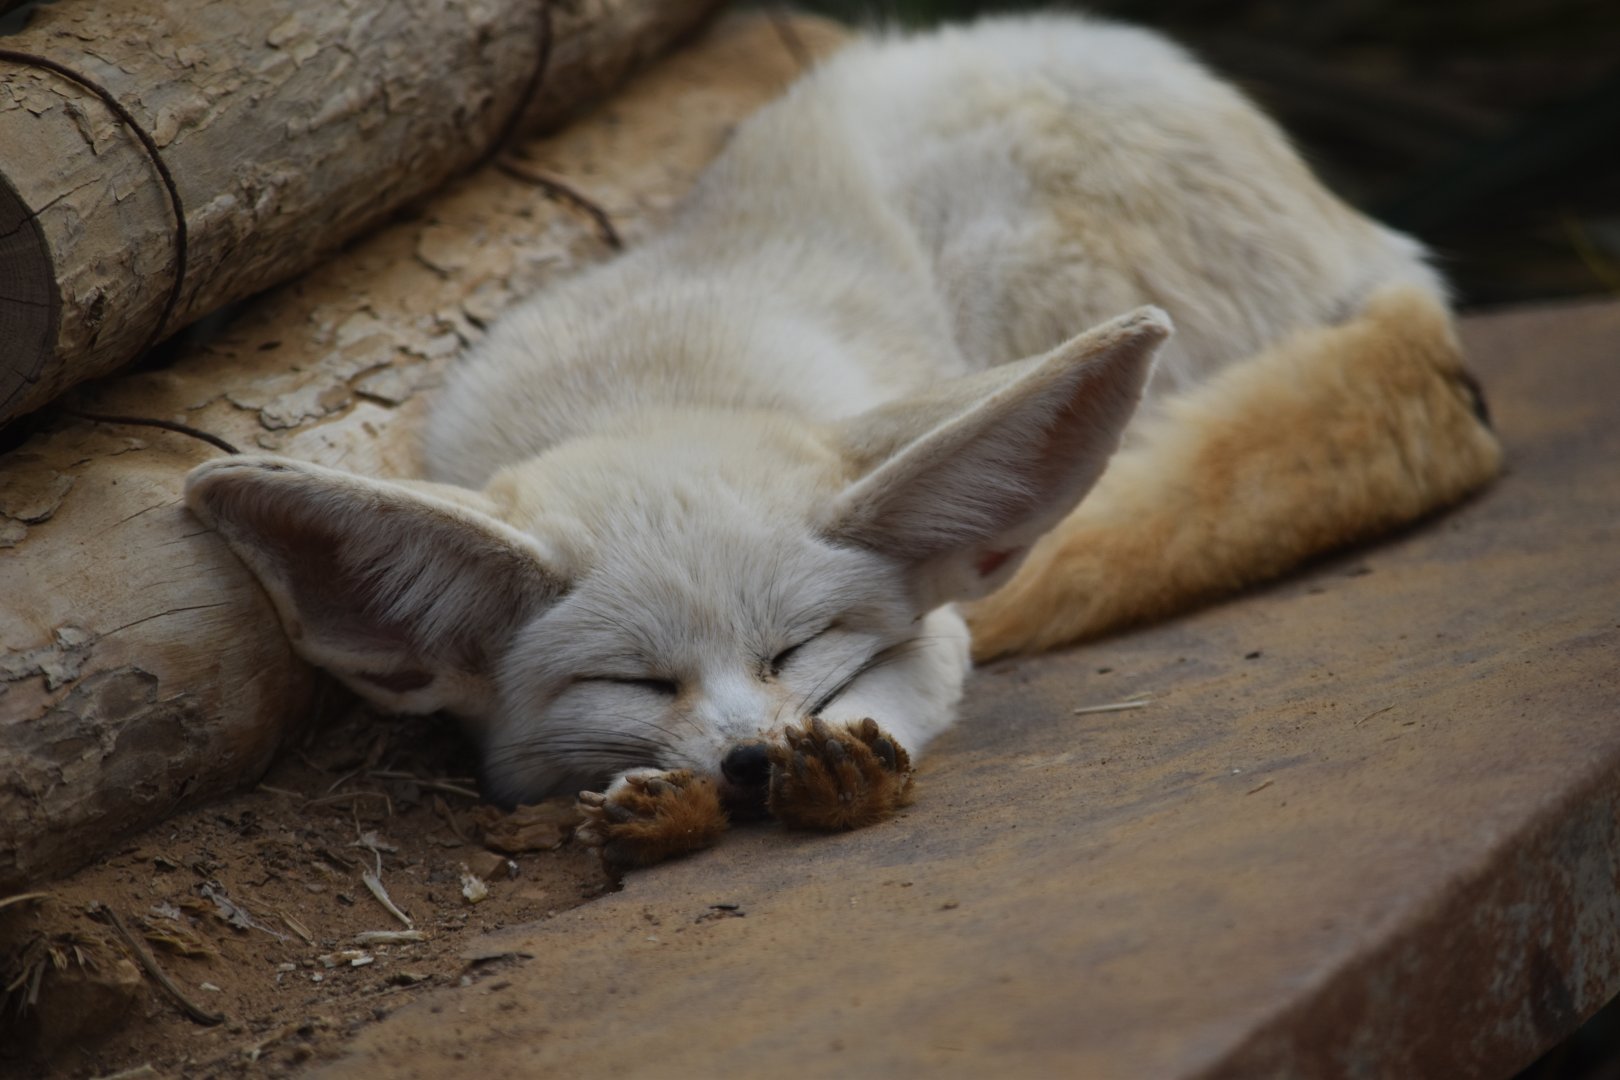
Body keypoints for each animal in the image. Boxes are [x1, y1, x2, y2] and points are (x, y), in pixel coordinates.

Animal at [185, 14, 1501, 870]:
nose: (749, 764)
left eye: (796, 649)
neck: (649, 380)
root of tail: (1384, 248)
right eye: (635, 681)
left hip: (1012, 242)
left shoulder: (934, 622)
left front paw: (848, 762)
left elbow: (909, 683)